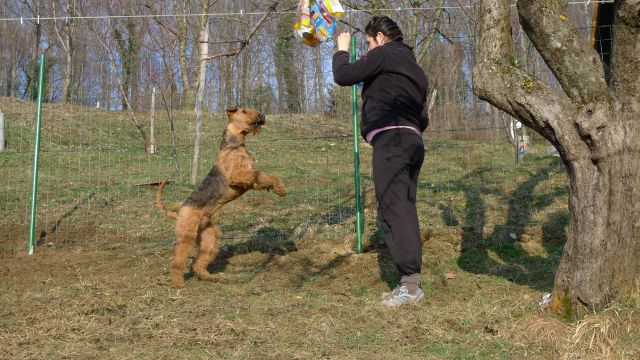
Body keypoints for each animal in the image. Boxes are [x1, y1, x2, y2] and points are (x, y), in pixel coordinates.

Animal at [156, 106, 286, 286]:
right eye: (244, 111)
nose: (262, 115)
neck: (234, 145)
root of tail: (178, 212)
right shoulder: (238, 175)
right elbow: (260, 174)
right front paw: (278, 188)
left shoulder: (247, 181)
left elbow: (263, 178)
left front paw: (278, 188)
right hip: (186, 234)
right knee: (178, 260)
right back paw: (179, 282)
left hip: (209, 237)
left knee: (197, 262)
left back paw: (209, 277)